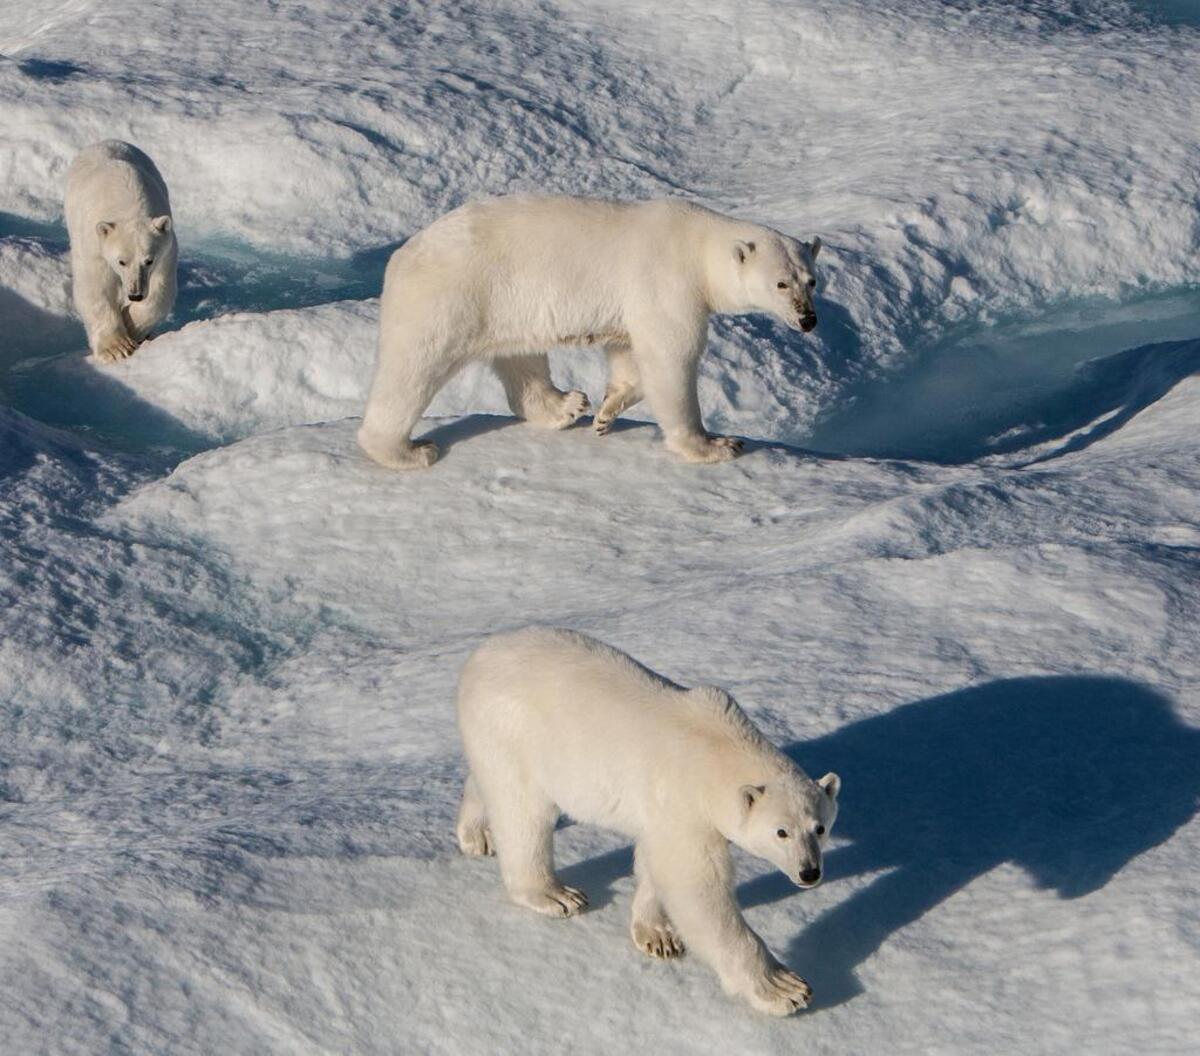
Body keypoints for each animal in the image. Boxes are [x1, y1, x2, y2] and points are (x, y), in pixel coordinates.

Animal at [64, 140, 178, 363]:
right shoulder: (94, 245)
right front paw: (117, 348)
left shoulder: (166, 252)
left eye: (149, 261)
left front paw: (131, 324)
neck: (128, 205)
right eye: (121, 261)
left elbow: (161, 289)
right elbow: (94, 287)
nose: (135, 295)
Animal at [357, 195, 821, 469]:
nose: (808, 320)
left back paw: (565, 405)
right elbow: (670, 357)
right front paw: (715, 446)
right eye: (781, 284)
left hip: (505, 302)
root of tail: (402, 256)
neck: (695, 242)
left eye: (811, 280)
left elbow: (630, 352)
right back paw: (407, 451)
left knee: (520, 358)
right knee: (412, 368)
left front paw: (606, 412)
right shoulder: (667, 283)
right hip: (450, 297)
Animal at [455, 626, 841, 1016]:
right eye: (781, 832)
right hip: (512, 730)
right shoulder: (685, 802)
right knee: (523, 812)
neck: (718, 749)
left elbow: (656, 866)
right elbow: (694, 884)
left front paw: (658, 936)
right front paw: (785, 988)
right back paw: (556, 894)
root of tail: (480, 655)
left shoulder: (665, 813)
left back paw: (477, 833)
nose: (810, 872)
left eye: (820, 828)